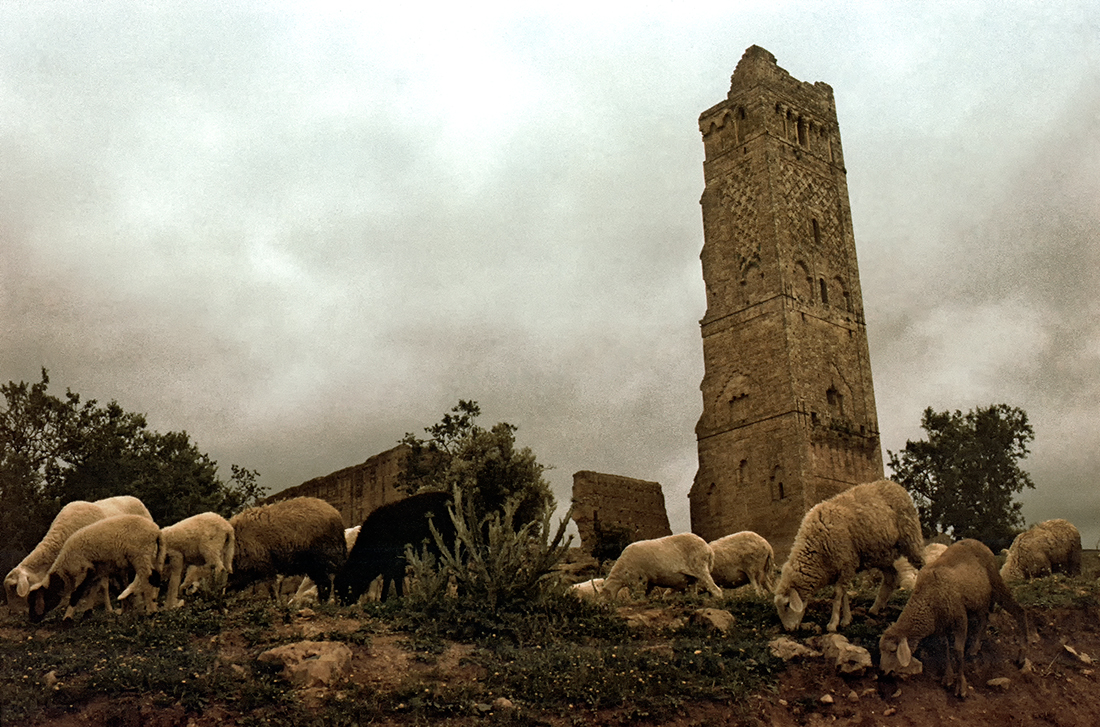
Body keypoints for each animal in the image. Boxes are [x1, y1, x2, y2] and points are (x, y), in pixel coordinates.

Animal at [27, 512, 165, 620]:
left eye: (34, 600)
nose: (32, 620)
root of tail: (156, 531)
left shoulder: (82, 569)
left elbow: (76, 594)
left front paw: (67, 619)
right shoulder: (96, 570)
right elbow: (93, 590)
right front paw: (87, 614)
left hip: (140, 555)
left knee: (147, 579)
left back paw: (151, 612)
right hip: (153, 555)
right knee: (156, 578)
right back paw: (152, 606)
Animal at [598, 530, 726, 598]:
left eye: (603, 595)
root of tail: (708, 549)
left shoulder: (638, 579)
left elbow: (638, 596)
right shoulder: (649, 581)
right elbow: (647, 594)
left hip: (700, 567)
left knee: (716, 590)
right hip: (691, 578)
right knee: (693, 593)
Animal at [774, 477, 928, 629]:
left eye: (787, 605)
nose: (788, 629)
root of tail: (894, 484)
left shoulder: (846, 564)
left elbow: (837, 595)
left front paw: (833, 623)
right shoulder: (840, 569)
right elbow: (844, 595)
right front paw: (846, 619)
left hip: (911, 539)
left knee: (922, 566)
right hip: (882, 554)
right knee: (891, 578)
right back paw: (875, 608)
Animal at [875, 538, 1029, 699]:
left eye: (893, 651)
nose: (881, 671)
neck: (927, 598)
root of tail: (976, 541)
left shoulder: (960, 618)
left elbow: (958, 651)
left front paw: (961, 685)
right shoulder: (941, 625)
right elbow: (945, 648)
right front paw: (948, 677)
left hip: (995, 583)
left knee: (1019, 611)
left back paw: (1022, 654)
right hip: (978, 598)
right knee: (984, 618)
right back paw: (975, 647)